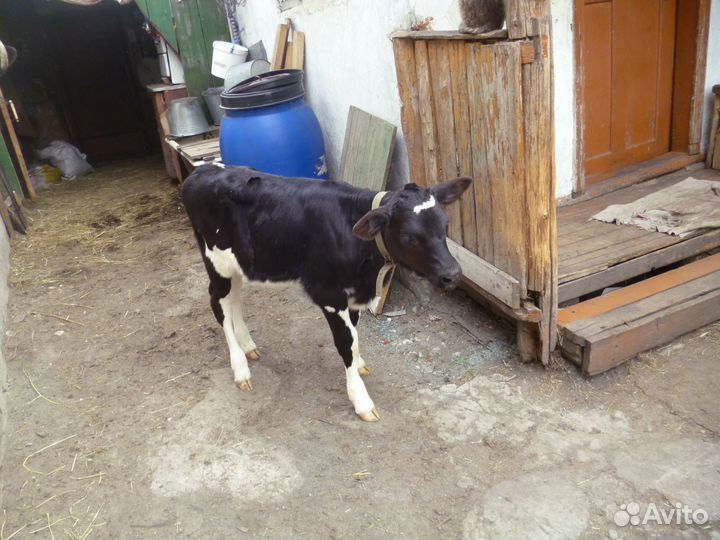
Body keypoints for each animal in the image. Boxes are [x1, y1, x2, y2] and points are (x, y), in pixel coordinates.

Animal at [182, 165, 471, 421]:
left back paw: (248, 345)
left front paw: (360, 363)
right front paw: (361, 400)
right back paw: (240, 368)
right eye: (409, 237)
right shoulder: (330, 295)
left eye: (446, 226)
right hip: (215, 260)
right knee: (218, 304)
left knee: (234, 300)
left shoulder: (353, 294)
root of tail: (201, 171)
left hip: (239, 264)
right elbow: (346, 342)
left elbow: (355, 336)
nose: (453, 274)